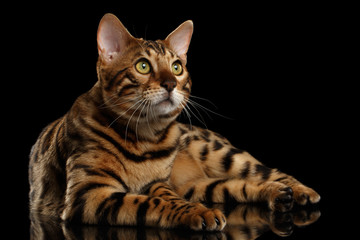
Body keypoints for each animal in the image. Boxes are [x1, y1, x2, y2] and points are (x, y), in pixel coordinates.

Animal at [28, 13, 320, 231]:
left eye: (177, 67)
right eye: (143, 66)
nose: (170, 84)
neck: (144, 138)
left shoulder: (158, 183)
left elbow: (165, 198)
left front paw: (192, 210)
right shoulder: (87, 195)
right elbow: (149, 203)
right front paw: (199, 213)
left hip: (222, 154)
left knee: (267, 172)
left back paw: (299, 191)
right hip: (203, 186)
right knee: (239, 185)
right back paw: (277, 194)